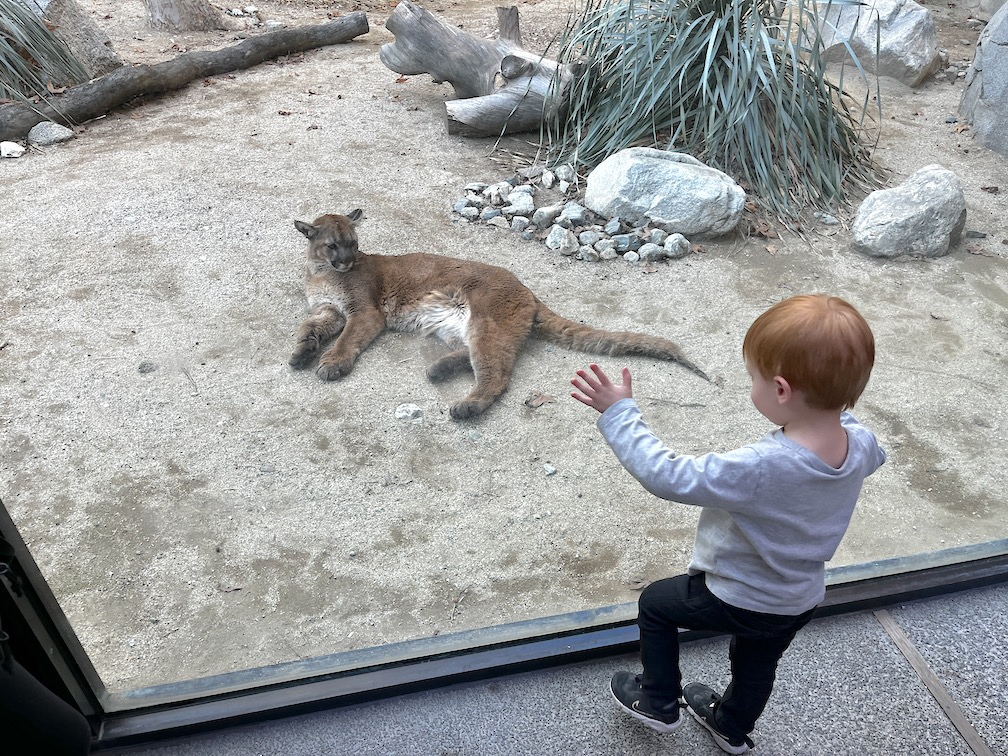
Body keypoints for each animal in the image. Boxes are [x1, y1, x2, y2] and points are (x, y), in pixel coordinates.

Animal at [290, 210, 709, 421]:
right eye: (333, 246)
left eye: (353, 244)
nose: (346, 261)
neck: (321, 272)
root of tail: (528, 291)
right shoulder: (328, 309)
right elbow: (309, 326)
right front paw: (301, 352)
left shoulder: (365, 313)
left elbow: (347, 339)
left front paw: (331, 362)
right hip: (462, 324)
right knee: (484, 358)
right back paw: (440, 369)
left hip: (485, 321)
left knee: (497, 374)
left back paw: (467, 405)